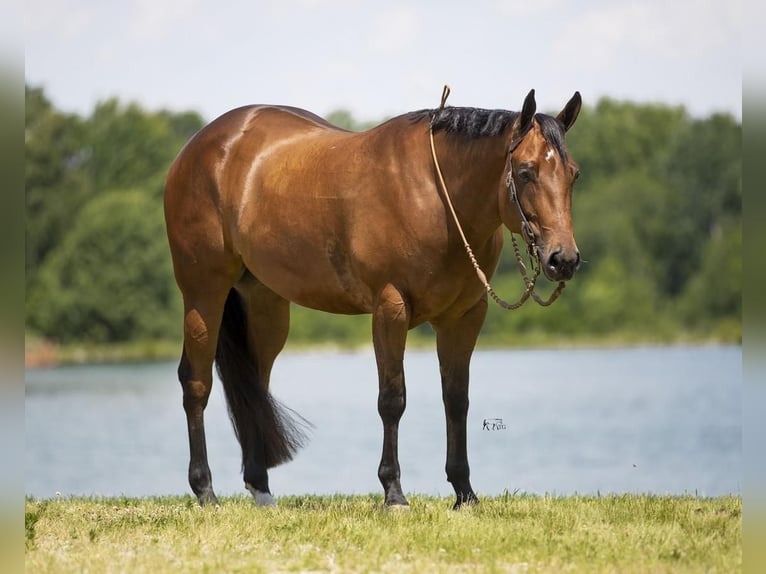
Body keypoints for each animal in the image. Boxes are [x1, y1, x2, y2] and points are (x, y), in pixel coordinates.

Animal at [164, 88, 584, 510]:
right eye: (526, 171)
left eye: (573, 174)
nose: (563, 259)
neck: (435, 195)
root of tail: (198, 148)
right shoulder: (390, 308)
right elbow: (392, 399)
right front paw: (393, 492)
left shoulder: (464, 316)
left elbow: (456, 400)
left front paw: (464, 492)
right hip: (203, 293)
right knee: (196, 382)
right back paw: (205, 490)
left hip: (265, 304)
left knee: (255, 384)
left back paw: (261, 489)